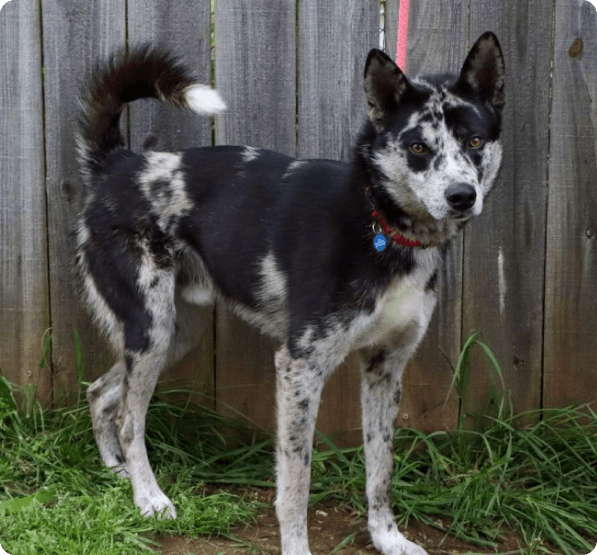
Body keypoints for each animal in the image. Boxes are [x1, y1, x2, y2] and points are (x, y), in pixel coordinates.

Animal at [73, 31, 502, 555]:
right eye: (419, 147)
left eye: (475, 141)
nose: (463, 196)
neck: (378, 224)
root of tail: (117, 164)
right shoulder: (301, 366)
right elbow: (296, 483)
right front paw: (298, 546)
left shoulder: (385, 367)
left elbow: (380, 470)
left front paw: (388, 538)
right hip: (151, 329)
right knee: (129, 420)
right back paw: (149, 498)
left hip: (173, 333)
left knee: (100, 392)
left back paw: (116, 472)